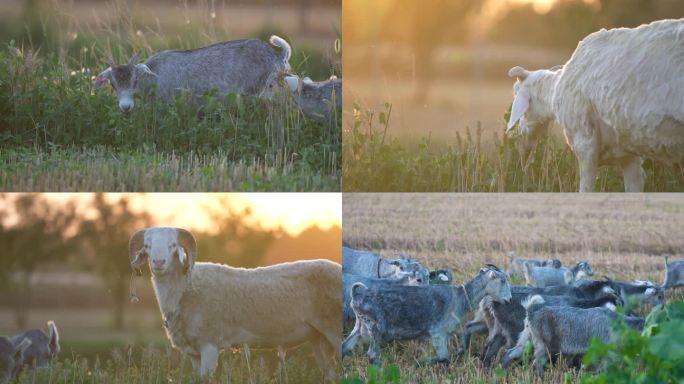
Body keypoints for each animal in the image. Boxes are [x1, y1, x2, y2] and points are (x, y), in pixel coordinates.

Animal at [128, 226, 342, 380]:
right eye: (147, 246)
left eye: (173, 245)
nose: (158, 262)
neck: (187, 286)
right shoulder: (194, 353)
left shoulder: (209, 345)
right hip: (318, 338)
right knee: (331, 373)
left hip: (333, 330)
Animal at [342, 264, 512, 366]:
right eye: (503, 280)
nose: (509, 299)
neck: (460, 297)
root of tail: (357, 295)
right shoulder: (438, 333)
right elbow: (444, 357)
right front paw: (419, 362)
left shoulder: (443, 334)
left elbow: (445, 357)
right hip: (375, 327)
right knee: (372, 355)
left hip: (360, 326)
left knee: (345, 346)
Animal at [508, 18, 684, 192]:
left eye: (516, 94)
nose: (520, 148)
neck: (555, 91)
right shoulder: (628, 155)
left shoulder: (585, 144)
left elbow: (585, 189)